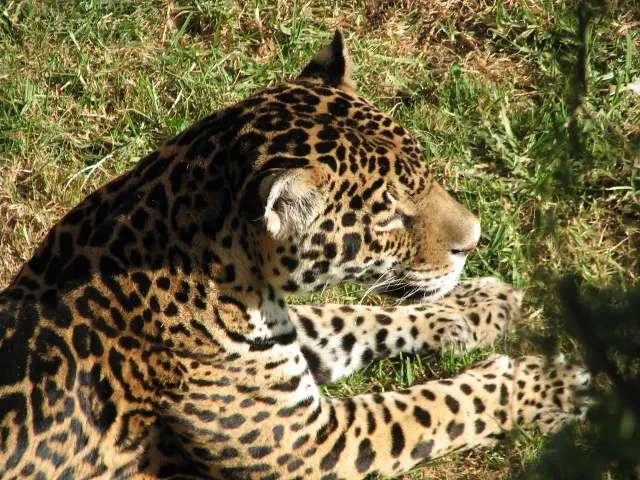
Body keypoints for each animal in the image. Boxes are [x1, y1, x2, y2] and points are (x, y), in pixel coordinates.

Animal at [0, 31, 589, 480]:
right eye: (389, 217)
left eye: (425, 175)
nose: (474, 240)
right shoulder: (316, 447)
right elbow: (438, 405)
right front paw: (546, 384)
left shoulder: (285, 342)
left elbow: (354, 317)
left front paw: (478, 306)